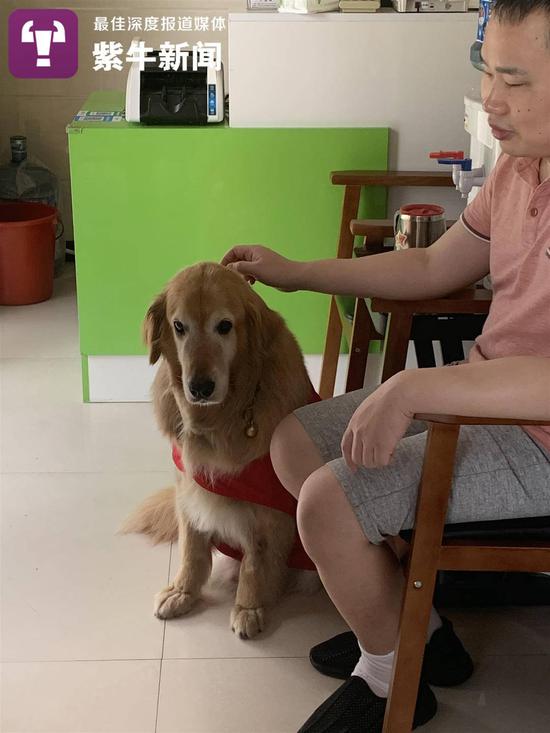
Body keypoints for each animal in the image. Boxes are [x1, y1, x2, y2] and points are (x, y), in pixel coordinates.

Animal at [121, 262, 319, 638]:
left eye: (224, 326)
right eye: (179, 326)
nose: (200, 387)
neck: (222, 418)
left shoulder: (268, 510)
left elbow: (255, 564)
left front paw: (248, 608)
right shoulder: (189, 488)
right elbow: (192, 551)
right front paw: (183, 592)